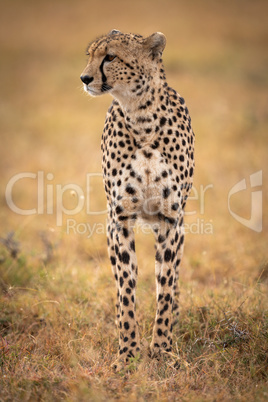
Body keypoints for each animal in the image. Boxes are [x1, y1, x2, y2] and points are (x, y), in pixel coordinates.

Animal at [79, 29, 195, 370]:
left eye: (110, 57)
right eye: (90, 55)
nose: (84, 78)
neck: (141, 118)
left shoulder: (171, 220)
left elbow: (165, 286)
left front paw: (163, 351)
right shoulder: (119, 219)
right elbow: (126, 287)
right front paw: (128, 353)